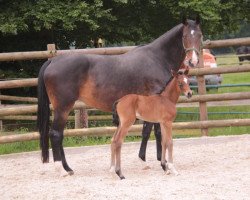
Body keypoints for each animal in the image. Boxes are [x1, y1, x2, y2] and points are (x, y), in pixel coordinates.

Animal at [37, 17, 202, 177]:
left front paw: (150, 161)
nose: (193, 61)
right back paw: (62, 170)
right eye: (185, 36)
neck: (157, 58)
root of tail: (52, 60)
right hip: (63, 107)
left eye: (200, 35)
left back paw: (68, 168)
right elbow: (156, 133)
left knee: (59, 135)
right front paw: (161, 164)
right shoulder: (155, 100)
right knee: (56, 134)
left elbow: (147, 132)